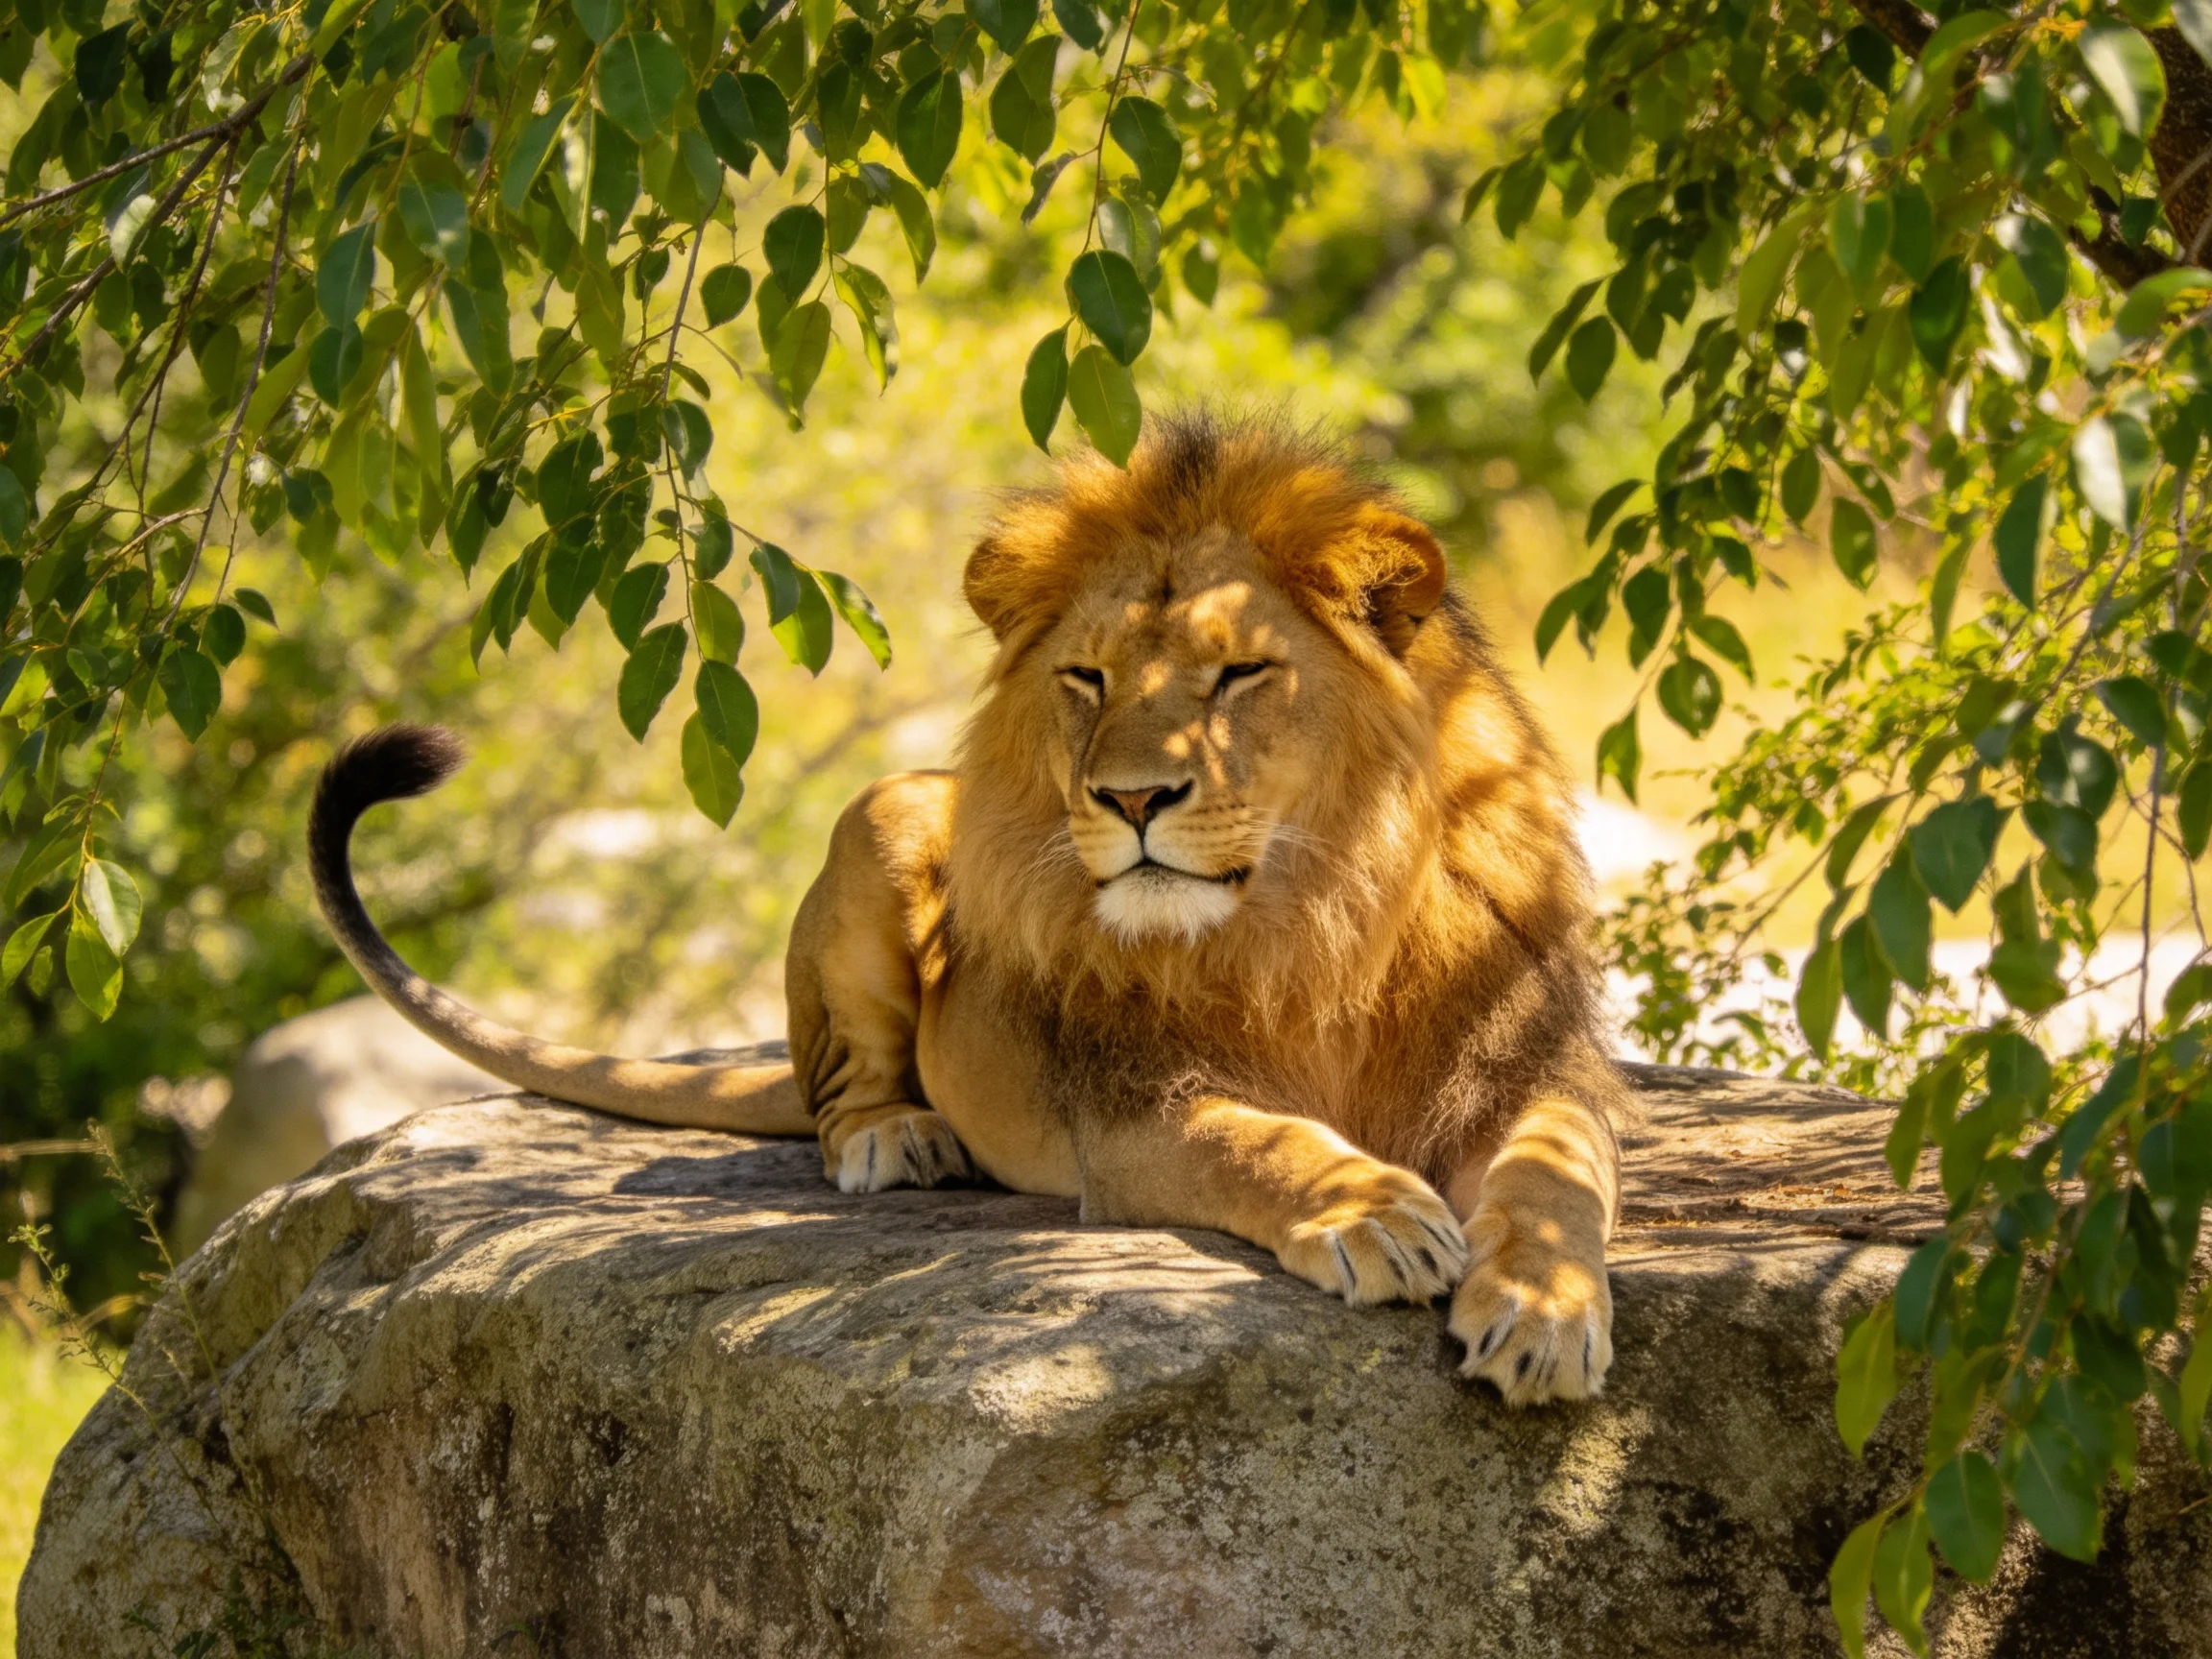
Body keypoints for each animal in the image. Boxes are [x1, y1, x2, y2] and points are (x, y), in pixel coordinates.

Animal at [309, 414, 1628, 1405]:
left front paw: (1541, 1309)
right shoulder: (1134, 1110)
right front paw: (1377, 1213)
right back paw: (901, 1138)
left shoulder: (1524, 1067)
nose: (1129, 796)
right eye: (1087, 678)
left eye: (1239, 674)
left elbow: (1555, 1175)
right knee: (838, 1094)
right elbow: (1264, 1141)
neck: (1316, 915)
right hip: (885, 814)